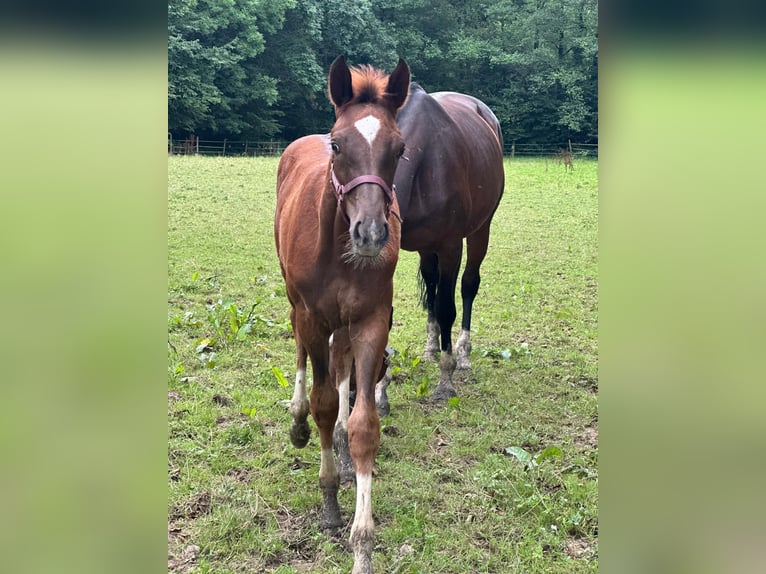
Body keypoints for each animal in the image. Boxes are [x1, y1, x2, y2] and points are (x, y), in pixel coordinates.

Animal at [274, 56, 412, 574]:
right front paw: (330, 500)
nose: (371, 233)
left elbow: (362, 425)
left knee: (343, 366)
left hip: (348, 324)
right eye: (338, 145)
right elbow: (322, 401)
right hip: (296, 303)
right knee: (301, 355)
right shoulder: (313, 316)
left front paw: (362, 546)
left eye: (399, 148)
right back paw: (297, 422)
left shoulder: (371, 319)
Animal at [392, 83, 508, 402]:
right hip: (426, 247)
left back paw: (463, 353)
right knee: (432, 284)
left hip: (481, 230)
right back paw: (431, 346)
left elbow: (447, 308)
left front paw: (446, 379)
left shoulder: (450, 247)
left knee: (468, 285)